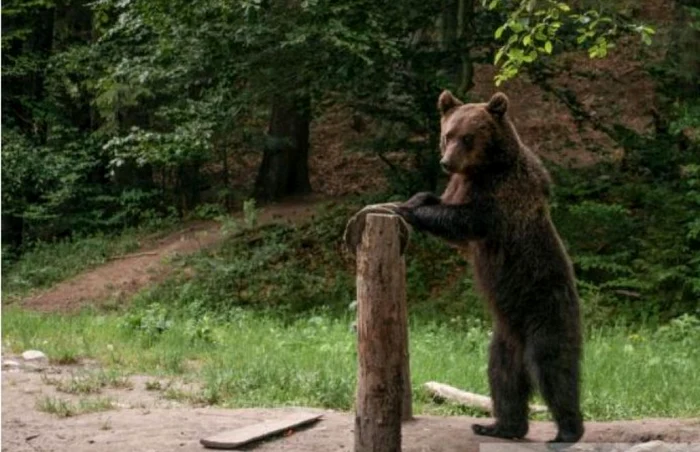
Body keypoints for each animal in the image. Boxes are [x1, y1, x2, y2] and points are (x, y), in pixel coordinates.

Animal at [394, 90, 584, 444]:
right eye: (448, 134)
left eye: (467, 137)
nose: (447, 162)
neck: (483, 169)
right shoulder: (461, 185)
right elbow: (448, 215)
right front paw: (417, 198)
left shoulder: (503, 195)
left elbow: (467, 220)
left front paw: (408, 210)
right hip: (504, 337)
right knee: (502, 375)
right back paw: (499, 426)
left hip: (545, 307)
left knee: (553, 366)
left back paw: (567, 430)